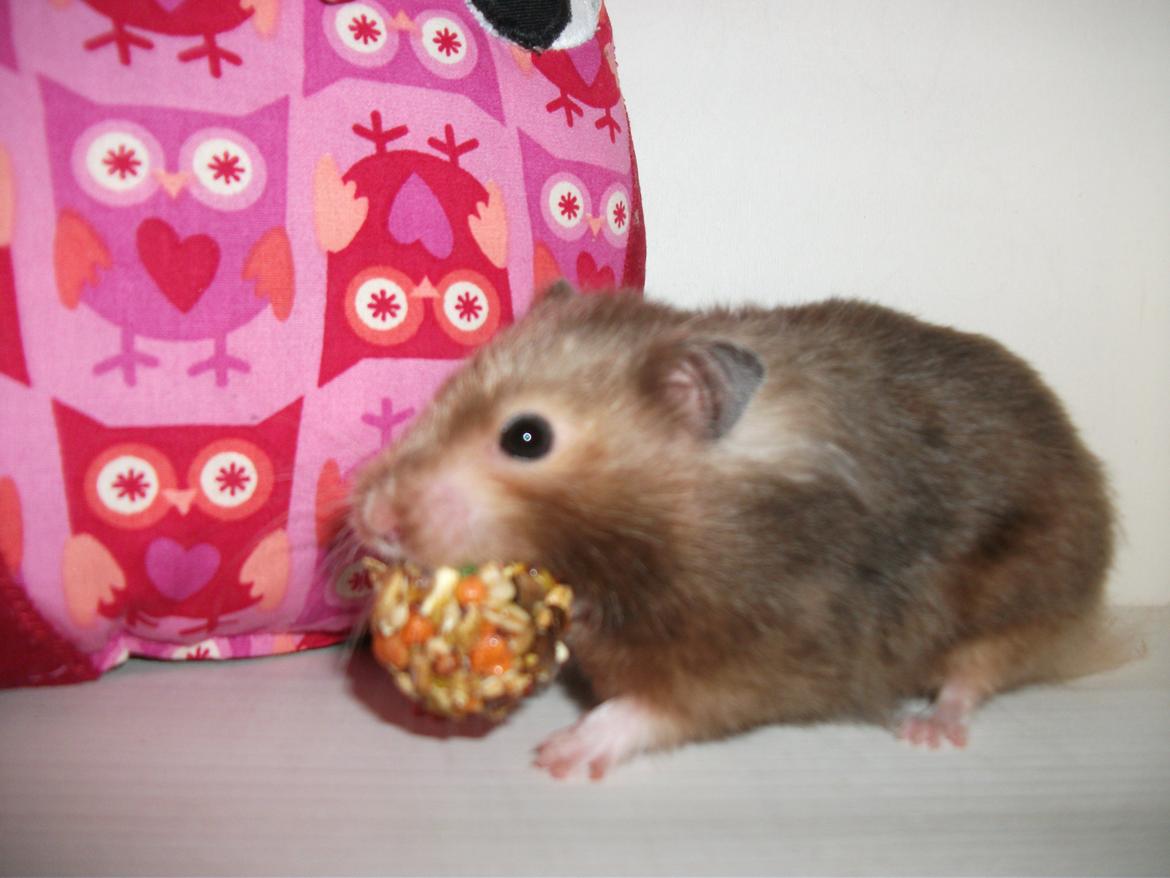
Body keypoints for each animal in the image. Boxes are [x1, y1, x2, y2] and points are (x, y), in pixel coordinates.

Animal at [351, 284, 1119, 779]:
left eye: (527, 436)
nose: (368, 520)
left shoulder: (759, 649)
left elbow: (655, 708)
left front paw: (558, 756)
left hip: (1031, 591)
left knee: (977, 672)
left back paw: (929, 730)